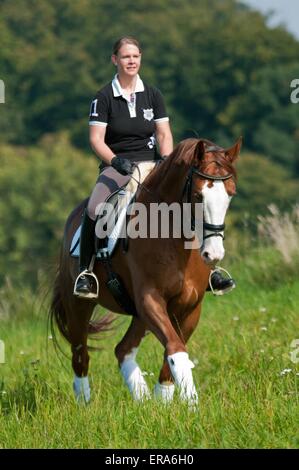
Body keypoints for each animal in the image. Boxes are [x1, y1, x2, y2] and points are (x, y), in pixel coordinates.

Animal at [49, 138, 241, 406]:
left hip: (139, 314)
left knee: (122, 349)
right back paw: (86, 406)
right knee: (80, 356)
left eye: (230, 194)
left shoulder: (190, 306)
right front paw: (192, 405)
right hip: (78, 305)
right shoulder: (150, 299)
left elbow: (172, 352)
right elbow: (176, 349)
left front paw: (164, 403)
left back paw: (142, 399)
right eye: (198, 195)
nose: (213, 254)